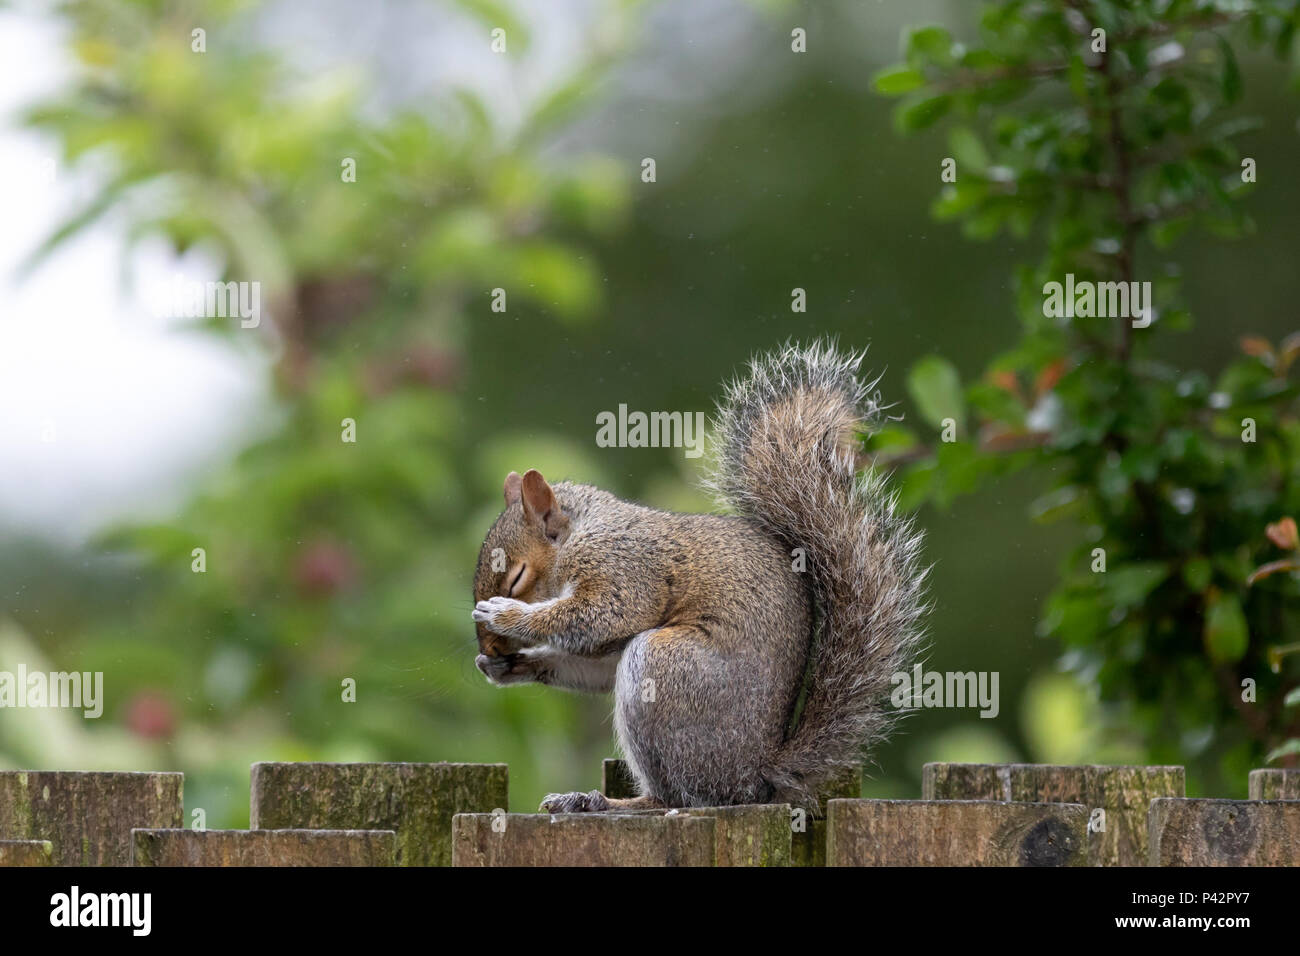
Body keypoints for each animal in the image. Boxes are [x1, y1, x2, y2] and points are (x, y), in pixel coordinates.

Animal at [471, 341, 927, 812]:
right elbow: (594, 664)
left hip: (663, 667)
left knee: (676, 796)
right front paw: (506, 666)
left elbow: (600, 615)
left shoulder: (625, 569)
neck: (582, 530)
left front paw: (504, 615)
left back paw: (599, 802)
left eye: (517, 577)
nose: (489, 647)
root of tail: (758, 778)